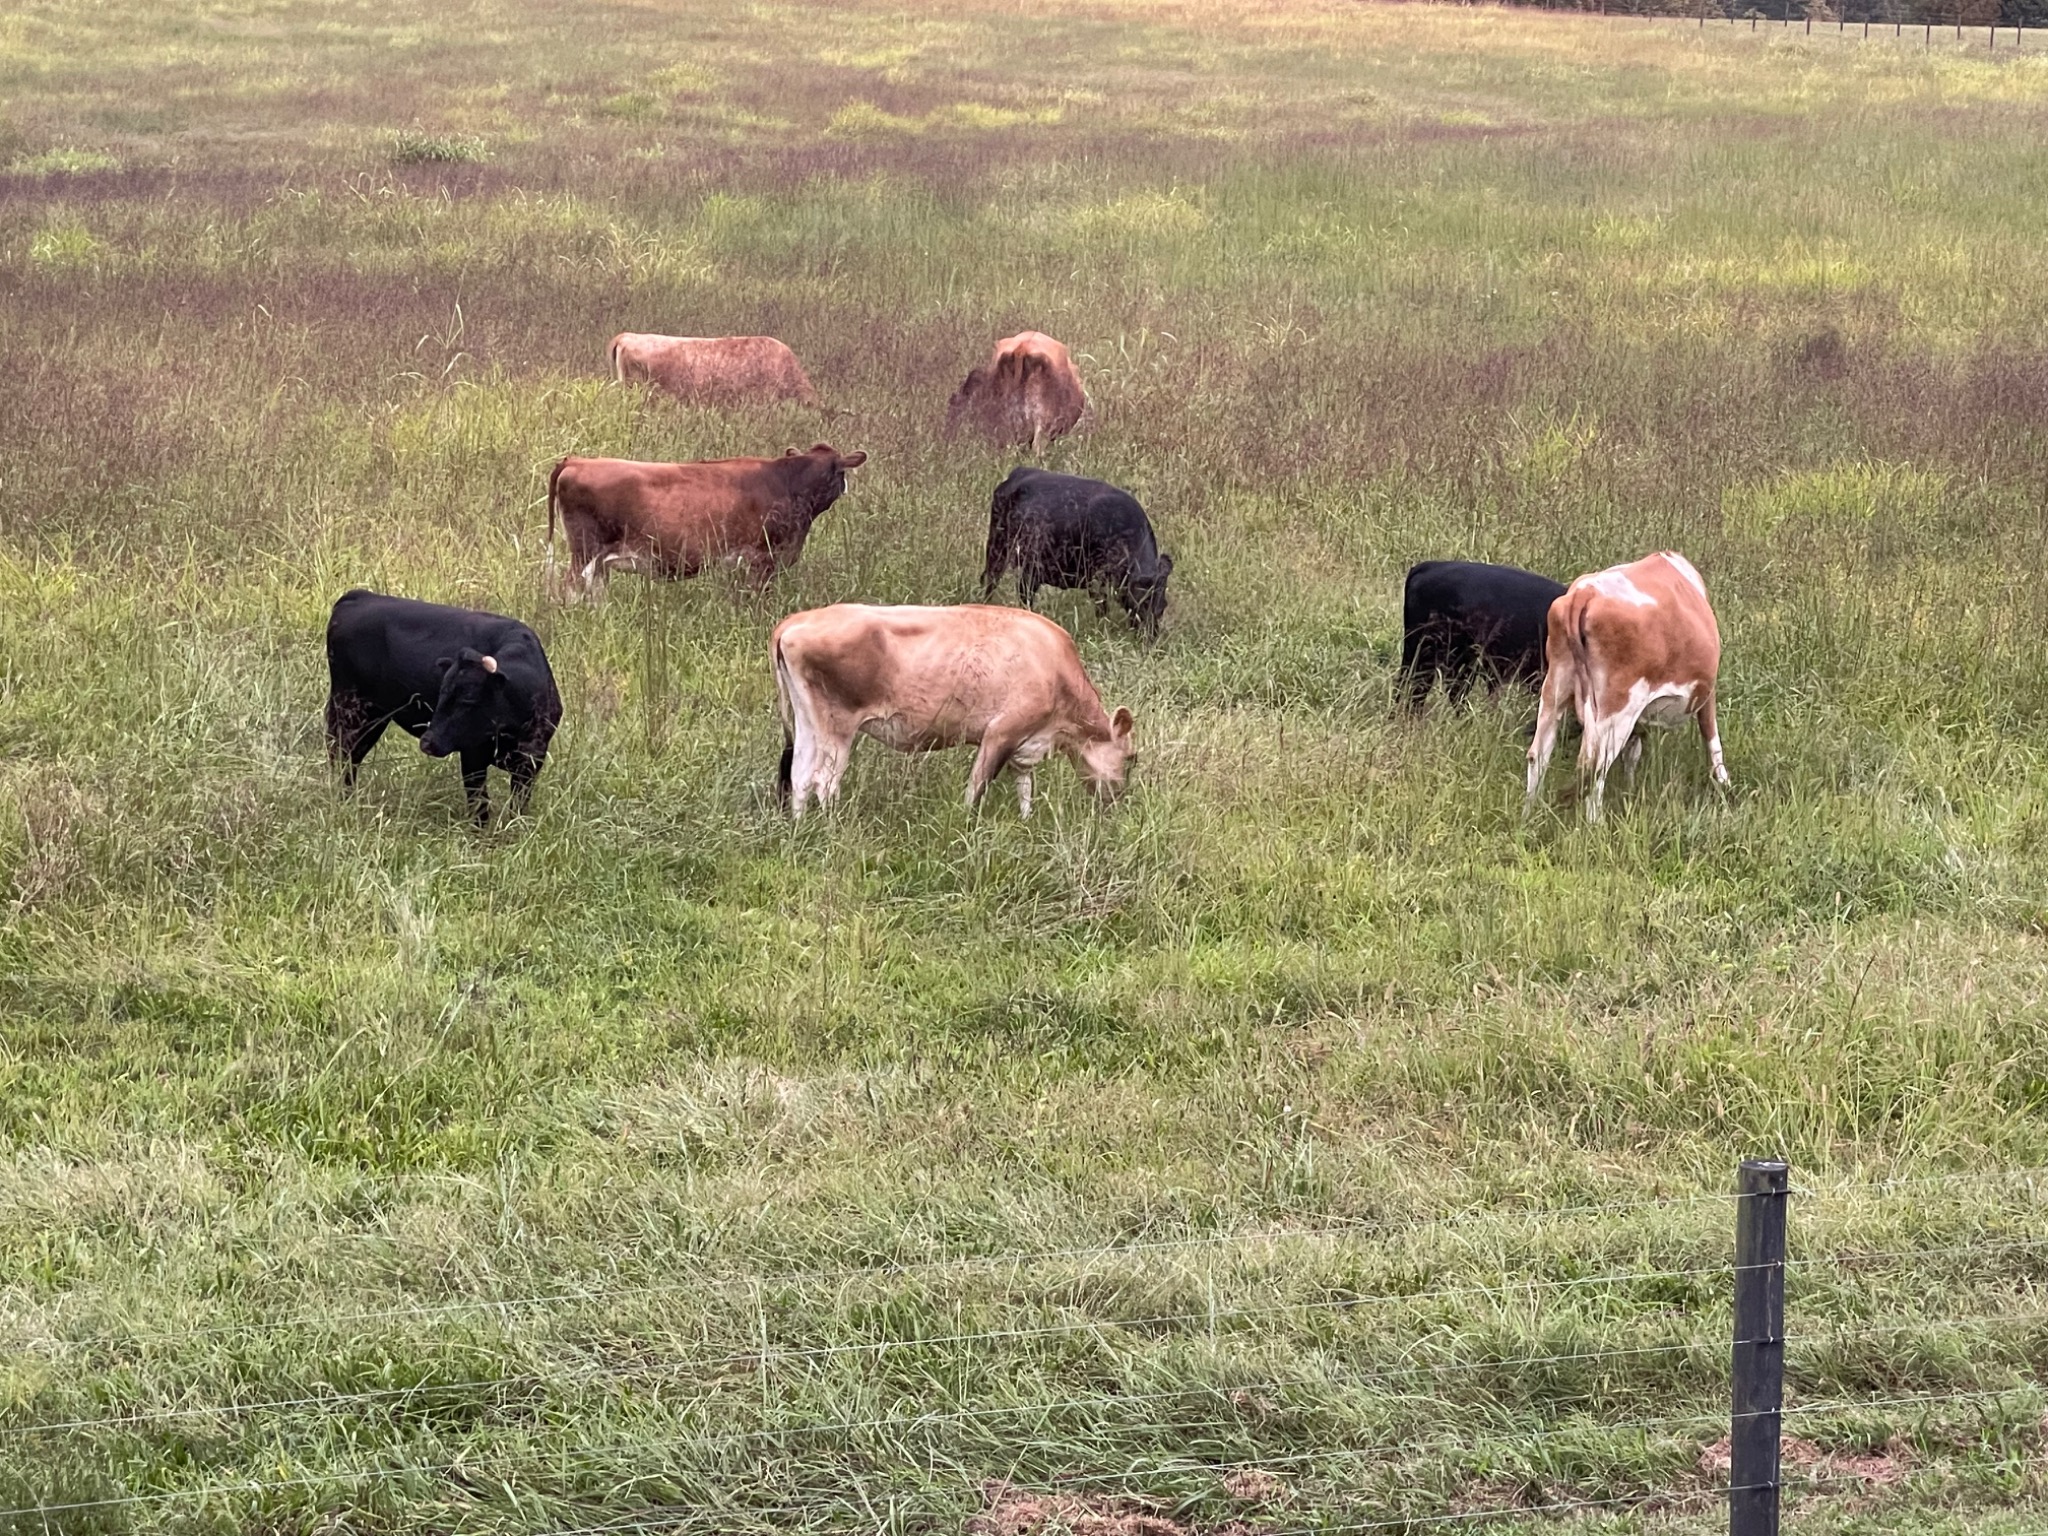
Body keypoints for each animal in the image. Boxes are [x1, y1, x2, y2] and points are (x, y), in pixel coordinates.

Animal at [324, 589, 562, 825]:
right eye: (442, 693)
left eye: (469, 699)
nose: (427, 742)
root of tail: (361, 595)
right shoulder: (472, 755)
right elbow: (479, 804)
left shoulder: (531, 761)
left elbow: (518, 805)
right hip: (350, 708)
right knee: (342, 756)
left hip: (373, 715)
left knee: (351, 758)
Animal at [546, 444, 867, 598]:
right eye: (840, 472)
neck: (788, 483)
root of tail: (577, 461)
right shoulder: (763, 557)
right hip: (585, 550)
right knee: (571, 588)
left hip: (599, 560)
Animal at [771, 604, 1136, 818]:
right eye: (1132, 758)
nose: (1118, 798)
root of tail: (794, 621)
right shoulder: (1002, 731)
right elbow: (978, 785)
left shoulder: (1026, 742)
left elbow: (1025, 786)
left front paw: (1026, 822)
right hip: (838, 726)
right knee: (823, 781)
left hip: (808, 722)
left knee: (800, 776)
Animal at [981, 467, 1173, 638]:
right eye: (1141, 603)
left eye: (1162, 606)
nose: (1150, 636)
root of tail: (1018, 472)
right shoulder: (1097, 580)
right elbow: (1102, 609)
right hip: (1000, 548)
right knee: (994, 582)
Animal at [1525, 551, 1729, 823]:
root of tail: (1585, 593)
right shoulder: (1706, 693)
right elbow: (1713, 741)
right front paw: (1725, 789)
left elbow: (1633, 752)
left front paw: (1630, 791)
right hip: (1617, 708)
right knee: (1595, 767)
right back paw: (1595, 824)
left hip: (1554, 690)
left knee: (1538, 755)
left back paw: (1528, 814)